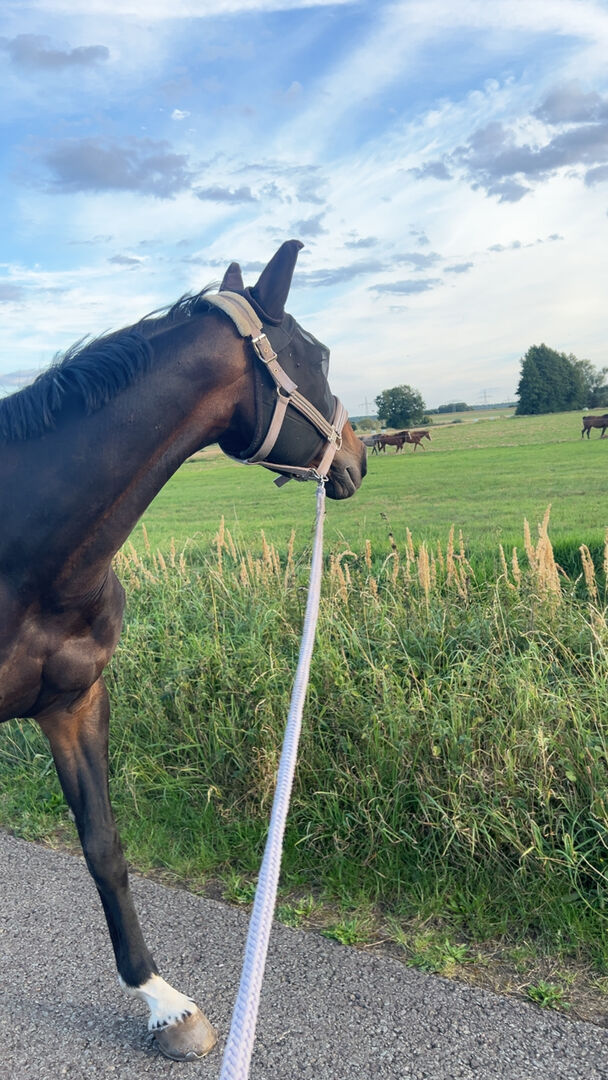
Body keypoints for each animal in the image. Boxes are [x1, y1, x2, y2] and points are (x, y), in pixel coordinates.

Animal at [0, 240, 365, 1061]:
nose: (359, 456)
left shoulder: (75, 704)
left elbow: (104, 845)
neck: (26, 553)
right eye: (322, 355)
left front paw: (163, 1003)